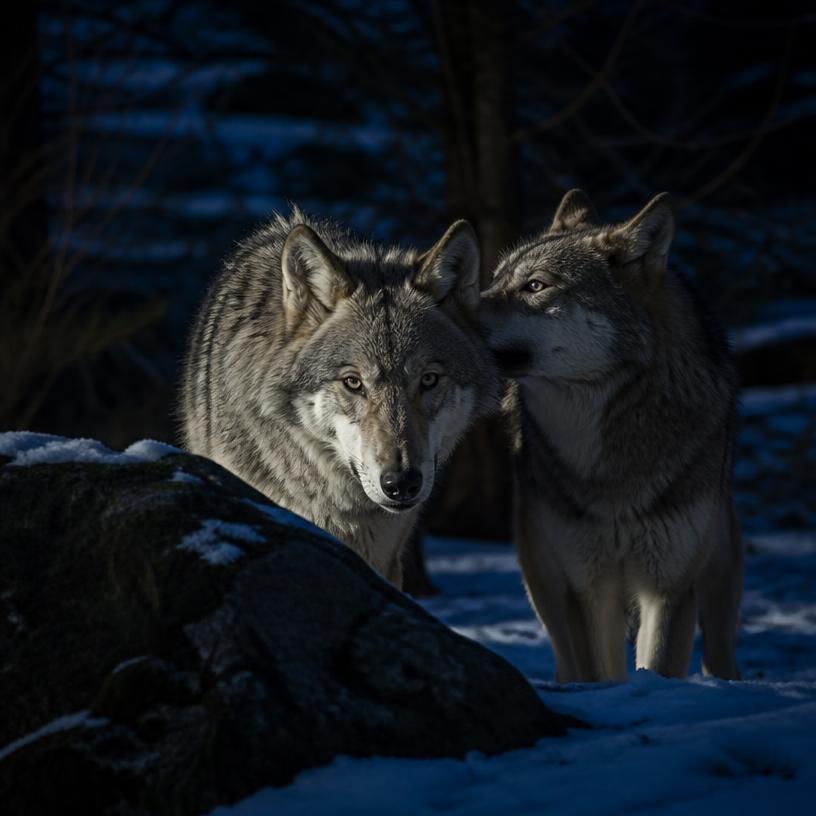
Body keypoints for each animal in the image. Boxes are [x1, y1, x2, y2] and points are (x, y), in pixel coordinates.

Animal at [481, 190, 742, 681]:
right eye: (494, 281)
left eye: (535, 286)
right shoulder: (586, 587)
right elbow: (603, 674)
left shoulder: (669, 589)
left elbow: (658, 667)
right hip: (544, 585)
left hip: (719, 582)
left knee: (721, 655)